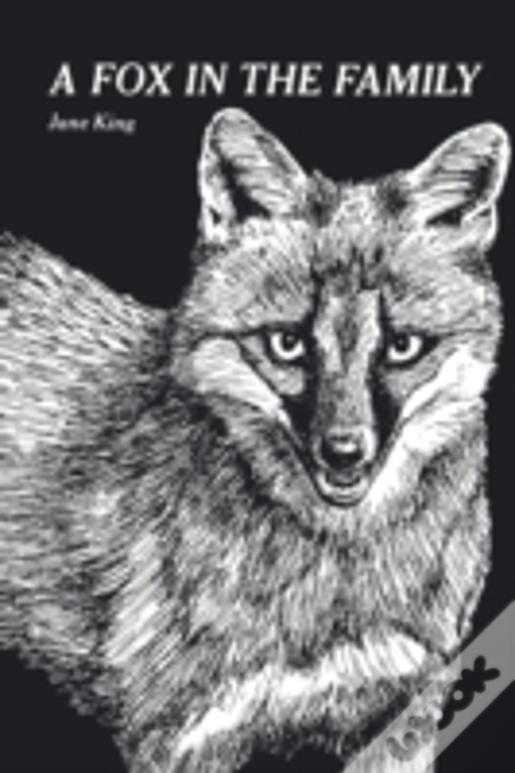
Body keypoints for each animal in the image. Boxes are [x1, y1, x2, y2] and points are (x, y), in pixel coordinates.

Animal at [0, 109, 510, 772]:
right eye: (287, 344)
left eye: (402, 347)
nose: (344, 452)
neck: (333, 589)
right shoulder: (185, 739)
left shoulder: (404, 717)